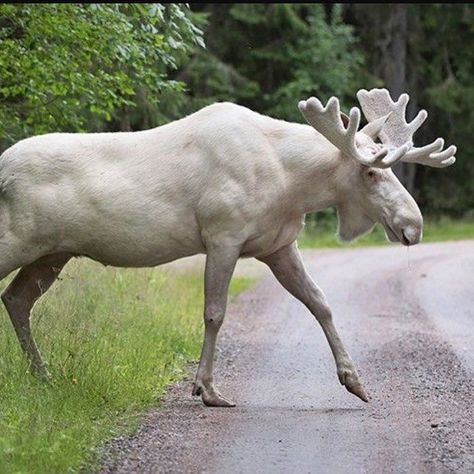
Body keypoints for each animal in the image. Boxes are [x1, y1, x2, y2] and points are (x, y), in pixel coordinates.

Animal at [0, 87, 456, 406]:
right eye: (370, 172)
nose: (413, 225)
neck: (292, 185)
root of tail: (3, 167)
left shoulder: (278, 245)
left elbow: (321, 302)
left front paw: (355, 381)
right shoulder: (222, 234)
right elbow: (215, 313)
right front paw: (207, 389)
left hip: (52, 253)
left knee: (17, 299)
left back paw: (42, 375)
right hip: (17, 240)